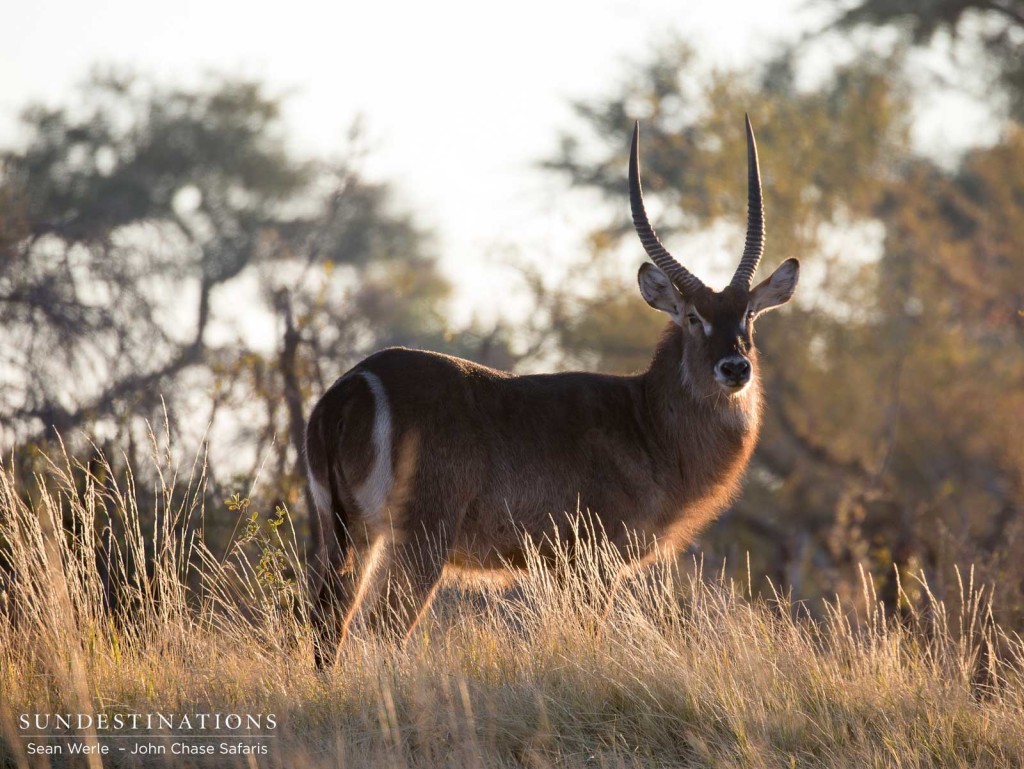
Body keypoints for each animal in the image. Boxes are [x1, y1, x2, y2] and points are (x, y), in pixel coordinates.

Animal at [303, 115, 798, 667]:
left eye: (749, 315)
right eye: (693, 317)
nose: (735, 368)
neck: (646, 422)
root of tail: (351, 388)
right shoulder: (594, 559)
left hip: (344, 531)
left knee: (326, 624)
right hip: (418, 538)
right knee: (381, 628)